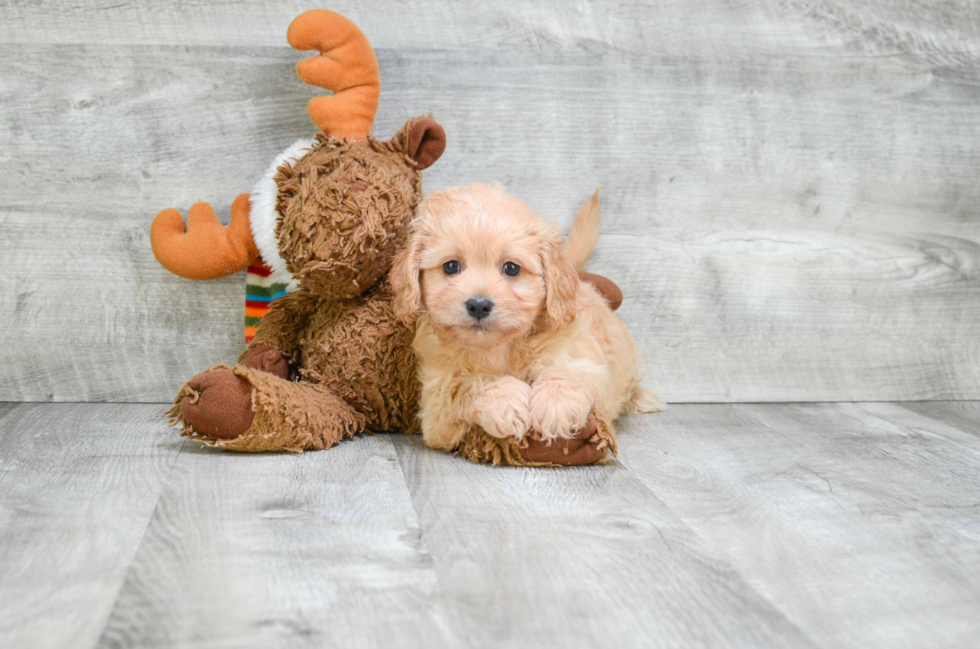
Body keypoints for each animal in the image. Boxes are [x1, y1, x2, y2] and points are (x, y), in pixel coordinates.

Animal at [392, 182, 668, 454]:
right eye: (451, 266)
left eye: (511, 268)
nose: (479, 305)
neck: (499, 348)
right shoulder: (435, 406)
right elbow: (467, 385)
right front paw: (506, 401)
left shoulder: (584, 357)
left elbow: (568, 373)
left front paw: (555, 405)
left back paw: (642, 398)